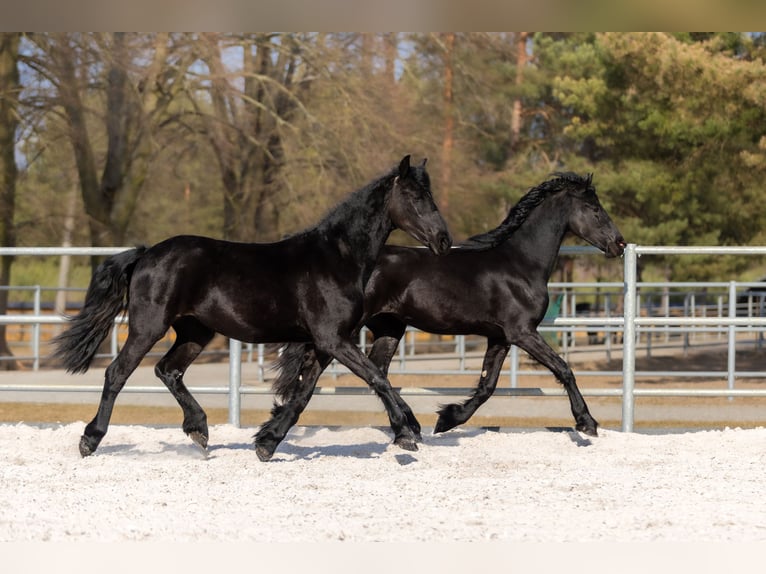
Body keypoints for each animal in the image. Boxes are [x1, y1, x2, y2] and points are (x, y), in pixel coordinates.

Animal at [53, 155, 453, 459]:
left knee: (168, 370)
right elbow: (377, 378)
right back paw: (90, 440)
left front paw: (266, 442)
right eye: (414, 196)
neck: (337, 258)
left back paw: (199, 430)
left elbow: (304, 394)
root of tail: (146, 254)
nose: (443, 240)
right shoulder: (333, 339)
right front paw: (407, 433)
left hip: (195, 332)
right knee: (117, 373)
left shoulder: (325, 344)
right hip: (148, 327)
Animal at [270, 172, 625, 441]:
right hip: (345, 331)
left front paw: (447, 419)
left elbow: (486, 386)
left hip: (388, 327)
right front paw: (587, 423)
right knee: (326, 369)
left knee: (376, 372)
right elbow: (564, 369)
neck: (521, 263)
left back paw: (406, 427)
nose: (619, 244)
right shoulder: (522, 332)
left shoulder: (500, 337)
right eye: (594, 208)